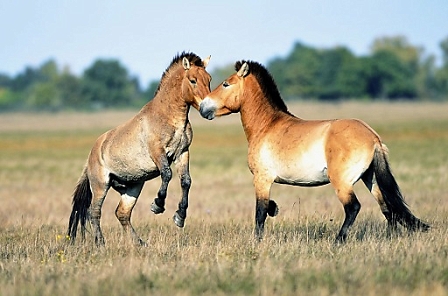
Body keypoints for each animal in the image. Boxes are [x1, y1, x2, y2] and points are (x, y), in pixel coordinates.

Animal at [68, 52, 212, 245]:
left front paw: (179, 217)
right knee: (94, 212)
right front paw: (157, 205)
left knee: (122, 213)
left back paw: (139, 243)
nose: (208, 109)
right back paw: (100, 243)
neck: (169, 117)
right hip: (100, 185)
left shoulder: (182, 153)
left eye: (209, 79)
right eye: (193, 80)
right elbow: (167, 175)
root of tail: (91, 155)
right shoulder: (158, 153)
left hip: (132, 187)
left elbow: (186, 181)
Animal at [200, 59, 430, 242]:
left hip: (342, 182)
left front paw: (257, 241)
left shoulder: (262, 179)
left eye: (226, 83)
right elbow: (267, 209)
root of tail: (373, 138)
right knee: (388, 208)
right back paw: (389, 238)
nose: (203, 107)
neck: (267, 126)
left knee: (354, 207)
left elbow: (260, 212)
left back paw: (338, 241)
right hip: (370, 178)